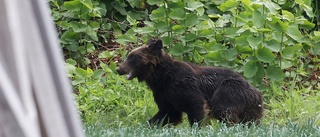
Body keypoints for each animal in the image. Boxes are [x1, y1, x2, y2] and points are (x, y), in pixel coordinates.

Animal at [116, 38, 264, 126]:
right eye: (129, 56)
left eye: (133, 57)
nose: (118, 69)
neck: (161, 77)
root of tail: (256, 91)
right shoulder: (164, 94)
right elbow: (167, 113)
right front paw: (149, 124)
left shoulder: (185, 87)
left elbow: (196, 106)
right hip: (252, 107)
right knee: (250, 120)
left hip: (229, 90)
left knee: (224, 110)